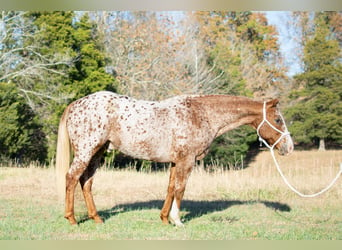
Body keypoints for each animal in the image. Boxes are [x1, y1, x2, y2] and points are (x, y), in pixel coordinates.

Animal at [56, 90, 294, 227]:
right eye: (278, 120)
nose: (289, 147)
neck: (201, 114)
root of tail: (75, 104)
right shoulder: (186, 161)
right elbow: (180, 189)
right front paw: (177, 220)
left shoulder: (175, 162)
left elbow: (170, 188)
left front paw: (164, 218)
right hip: (86, 151)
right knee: (71, 178)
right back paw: (72, 219)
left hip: (98, 152)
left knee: (86, 182)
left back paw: (96, 218)